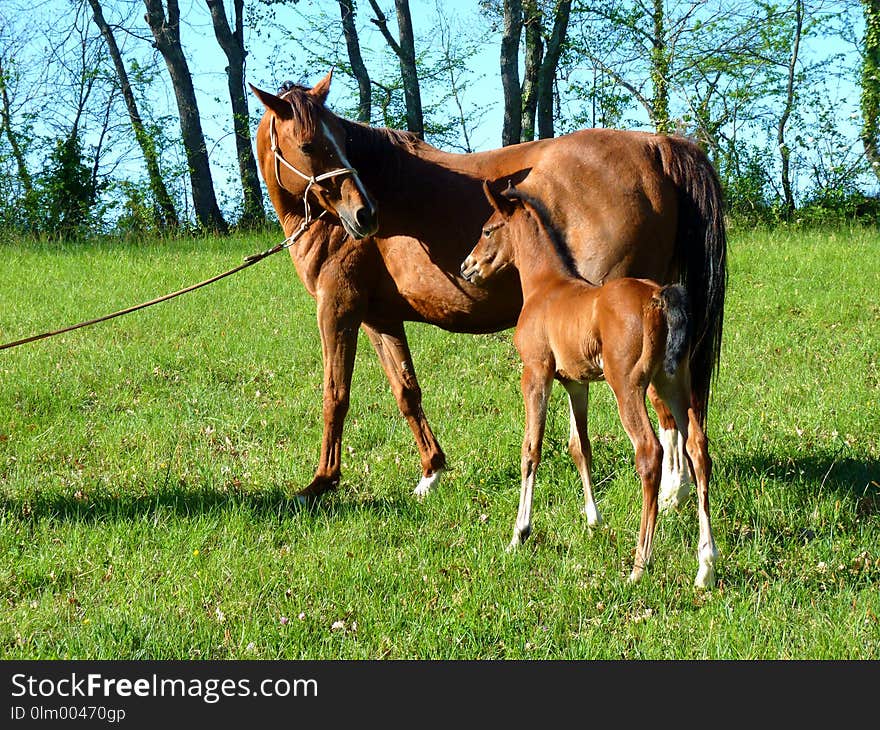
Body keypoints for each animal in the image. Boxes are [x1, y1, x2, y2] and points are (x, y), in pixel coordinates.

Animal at [249, 71, 728, 504]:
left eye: (339, 143)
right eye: (309, 145)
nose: (364, 214)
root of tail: (656, 146)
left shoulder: (338, 309)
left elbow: (335, 395)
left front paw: (321, 482)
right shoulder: (378, 319)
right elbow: (406, 391)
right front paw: (431, 473)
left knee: (663, 413)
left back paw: (671, 493)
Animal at [458, 181, 720, 584]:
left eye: (487, 230)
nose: (466, 267)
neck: (545, 287)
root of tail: (658, 297)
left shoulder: (536, 373)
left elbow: (530, 449)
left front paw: (519, 534)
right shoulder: (575, 383)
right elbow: (580, 447)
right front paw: (593, 520)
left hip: (628, 385)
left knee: (650, 452)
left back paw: (640, 565)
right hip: (672, 382)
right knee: (697, 448)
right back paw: (705, 564)